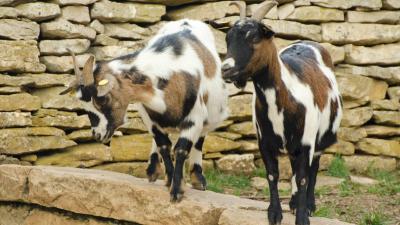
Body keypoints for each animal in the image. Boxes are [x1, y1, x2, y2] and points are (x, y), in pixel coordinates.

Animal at [60, 19, 228, 202]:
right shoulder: (149, 116)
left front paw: (177, 191)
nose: (97, 134)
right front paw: (169, 180)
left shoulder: (194, 117)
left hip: (209, 115)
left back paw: (198, 179)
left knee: (200, 139)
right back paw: (153, 170)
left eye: (102, 99)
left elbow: (182, 149)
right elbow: (163, 145)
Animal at [220, 1, 342, 225]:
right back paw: (293, 203)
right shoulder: (265, 142)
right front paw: (274, 213)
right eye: (227, 38)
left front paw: (302, 217)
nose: (226, 69)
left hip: (319, 139)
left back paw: (309, 205)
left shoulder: (306, 142)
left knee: (313, 170)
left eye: (254, 37)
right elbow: (272, 175)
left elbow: (303, 178)